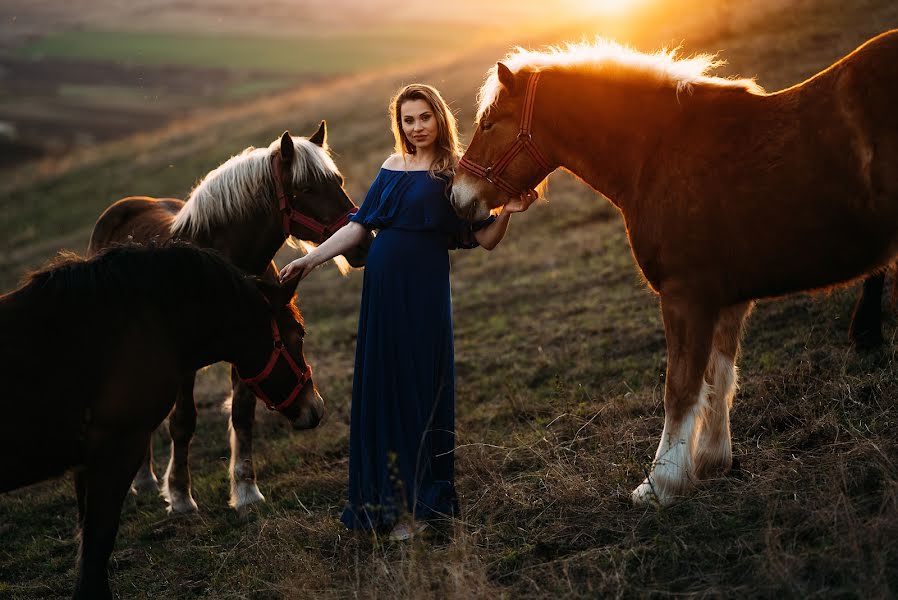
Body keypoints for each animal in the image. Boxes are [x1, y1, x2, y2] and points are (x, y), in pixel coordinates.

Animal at [0, 241, 314, 596]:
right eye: (299, 332)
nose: (315, 407)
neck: (140, 323)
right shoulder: (118, 447)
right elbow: (97, 546)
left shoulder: (87, 463)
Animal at [90, 124, 372, 512]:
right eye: (306, 189)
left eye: (338, 180)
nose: (362, 242)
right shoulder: (187, 363)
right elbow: (183, 422)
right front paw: (180, 495)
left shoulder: (252, 347)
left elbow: (242, 413)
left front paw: (246, 490)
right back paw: (144, 479)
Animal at [452, 30, 896, 504]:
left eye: (489, 123)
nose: (458, 196)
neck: (658, 152)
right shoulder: (728, 300)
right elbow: (718, 377)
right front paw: (712, 461)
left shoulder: (686, 295)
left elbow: (680, 388)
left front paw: (660, 482)